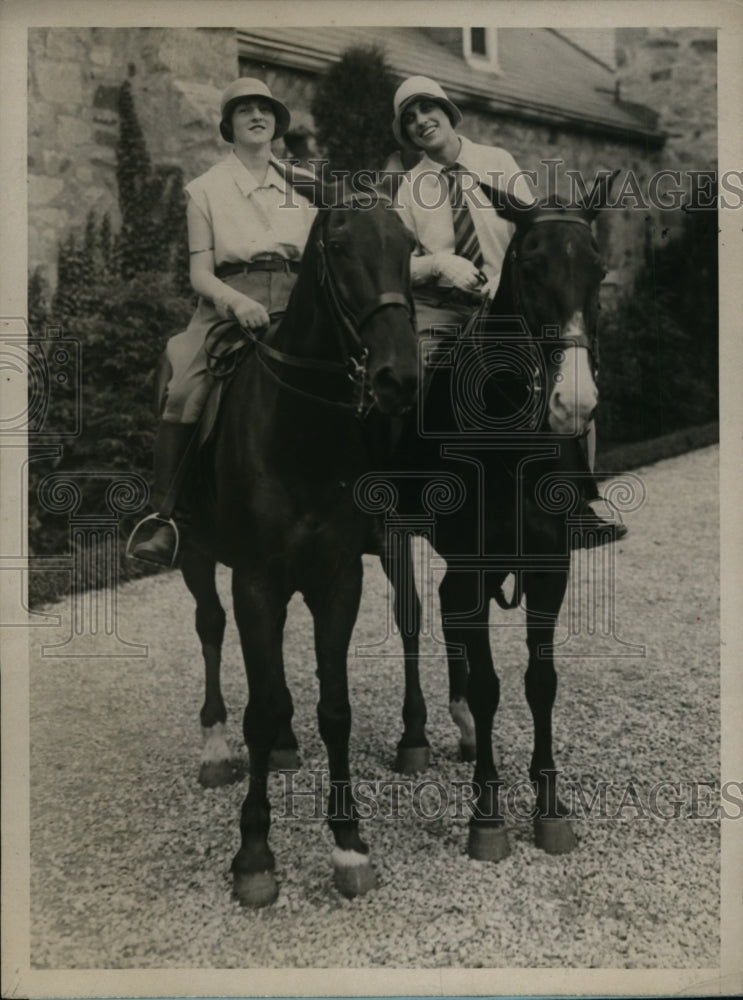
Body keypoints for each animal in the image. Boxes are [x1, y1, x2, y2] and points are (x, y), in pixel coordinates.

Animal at [180, 199, 418, 912]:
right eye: (338, 247)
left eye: (409, 245)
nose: (399, 377)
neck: (300, 432)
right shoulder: (255, 580)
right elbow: (258, 711)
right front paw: (254, 853)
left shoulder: (338, 580)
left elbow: (333, 709)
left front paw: (349, 842)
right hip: (198, 556)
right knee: (210, 628)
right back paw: (214, 745)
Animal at [374, 178, 620, 860]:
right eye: (529, 267)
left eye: (598, 269)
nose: (574, 402)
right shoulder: (475, 562)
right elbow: (489, 686)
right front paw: (486, 816)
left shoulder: (548, 567)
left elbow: (541, 681)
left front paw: (549, 805)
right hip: (392, 536)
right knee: (413, 619)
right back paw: (416, 736)